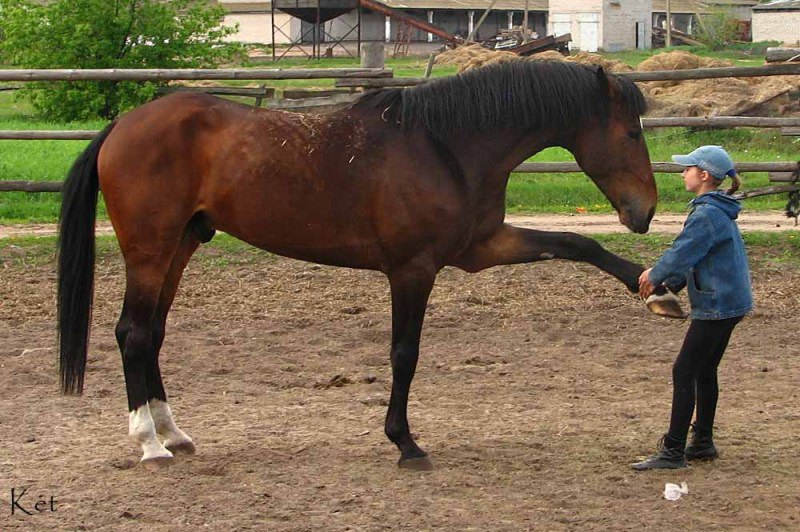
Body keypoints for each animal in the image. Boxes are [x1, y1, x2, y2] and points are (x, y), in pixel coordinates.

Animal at [57, 60, 664, 472]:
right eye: (632, 132)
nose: (646, 211)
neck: (444, 146)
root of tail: (120, 126)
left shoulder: (480, 248)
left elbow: (578, 244)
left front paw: (657, 293)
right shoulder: (413, 269)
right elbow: (404, 355)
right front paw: (405, 441)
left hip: (183, 244)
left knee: (153, 333)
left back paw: (173, 433)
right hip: (151, 250)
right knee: (134, 333)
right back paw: (149, 442)